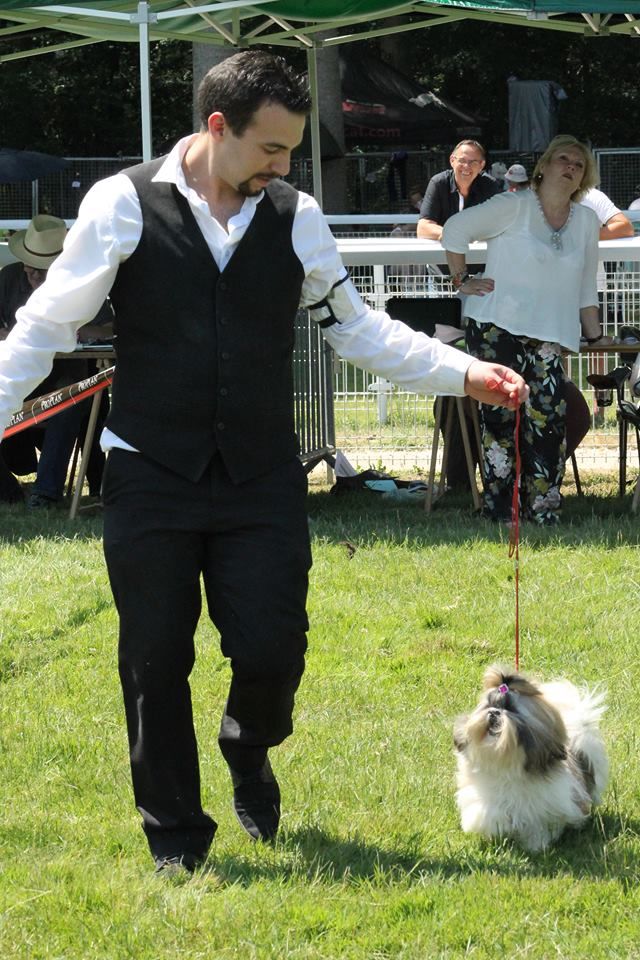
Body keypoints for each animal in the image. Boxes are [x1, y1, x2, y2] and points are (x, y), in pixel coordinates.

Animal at [452, 664, 608, 852]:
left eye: (511, 709)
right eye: (489, 705)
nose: (494, 713)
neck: (504, 762)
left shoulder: (543, 807)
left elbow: (537, 826)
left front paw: (536, 847)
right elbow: (490, 812)